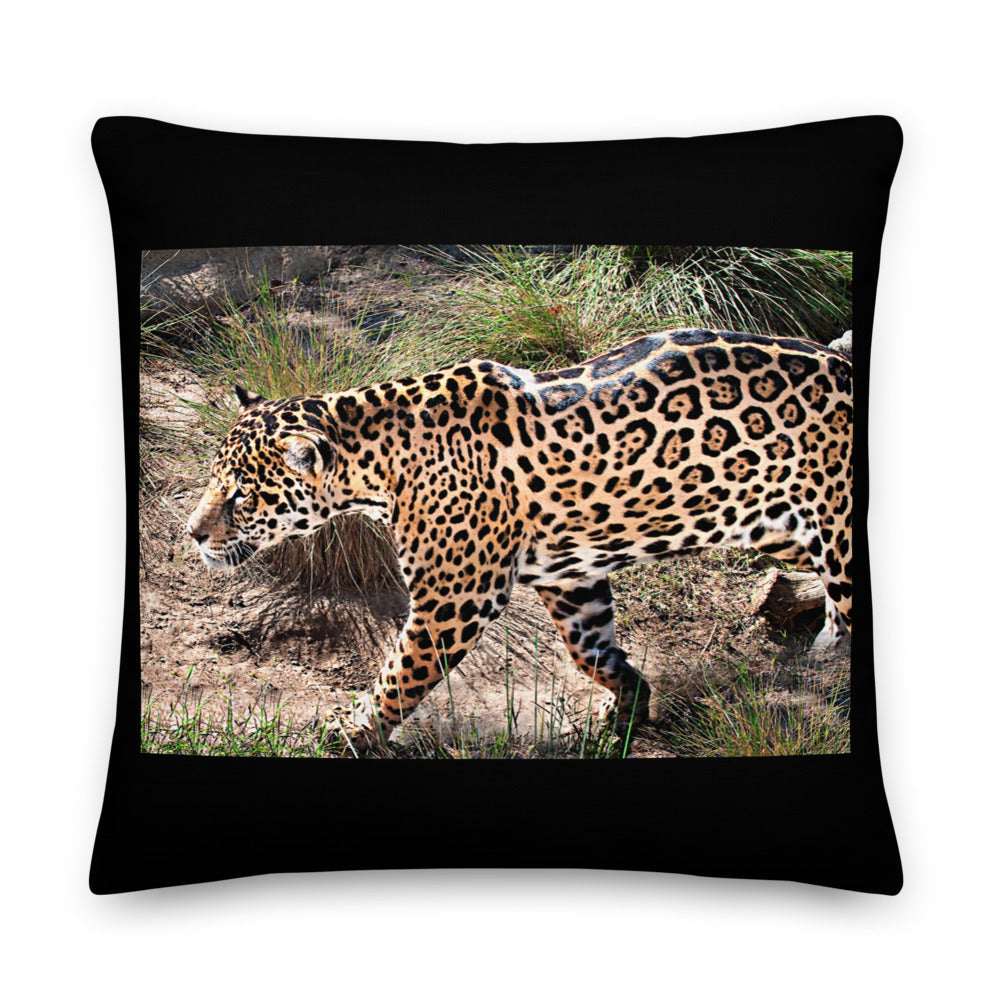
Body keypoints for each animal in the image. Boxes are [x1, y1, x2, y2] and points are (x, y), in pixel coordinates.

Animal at [187, 328, 853, 749]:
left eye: (241, 496)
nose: (193, 534)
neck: (377, 465)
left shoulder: (451, 601)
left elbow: (397, 677)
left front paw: (352, 734)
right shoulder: (572, 575)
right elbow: (590, 651)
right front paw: (626, 706)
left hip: (839, 531)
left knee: (847, 614)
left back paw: (829, 676)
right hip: (779, 523)